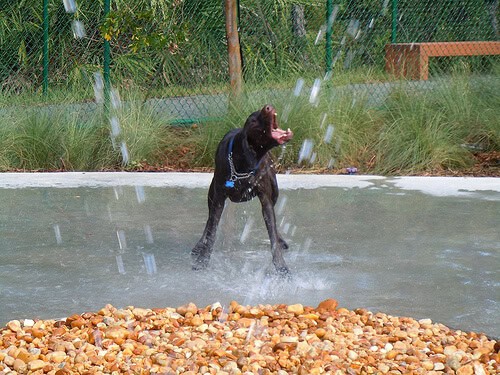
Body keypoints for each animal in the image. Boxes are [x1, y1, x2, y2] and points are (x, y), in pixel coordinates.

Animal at [191, 106, 292, 276]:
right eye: (253, 121)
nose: (268, 106)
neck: (242, 165)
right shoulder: (218, 199)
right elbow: (212, 231)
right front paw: (203, 261)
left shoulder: (266, 199)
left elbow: (272, 234)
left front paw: (281, 266)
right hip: (211, 192)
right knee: (209, 220)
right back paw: (200, 243)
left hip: (275, 190)